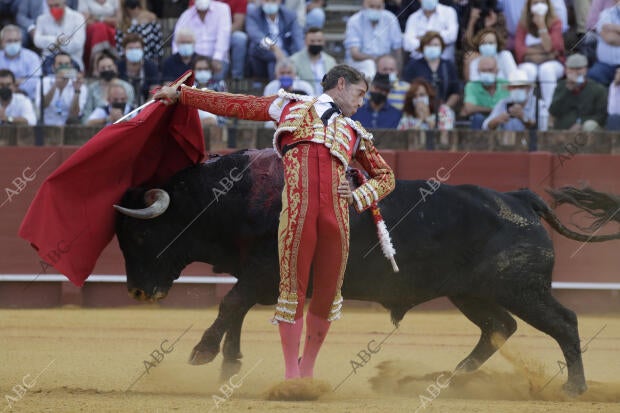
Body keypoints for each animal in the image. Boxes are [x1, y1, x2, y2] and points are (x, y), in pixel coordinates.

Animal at [114, 147, 616, 392]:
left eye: (138, 236)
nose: (137, 292)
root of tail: (520, 198)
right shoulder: (263, 279)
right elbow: (234, 310)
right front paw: (227, 366)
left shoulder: (263, 274)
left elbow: (230, 304)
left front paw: (203, 354)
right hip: (471, 293)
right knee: (499, 328)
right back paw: (449, 380)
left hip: (522, 289)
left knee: (564, 323)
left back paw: (574, 388)